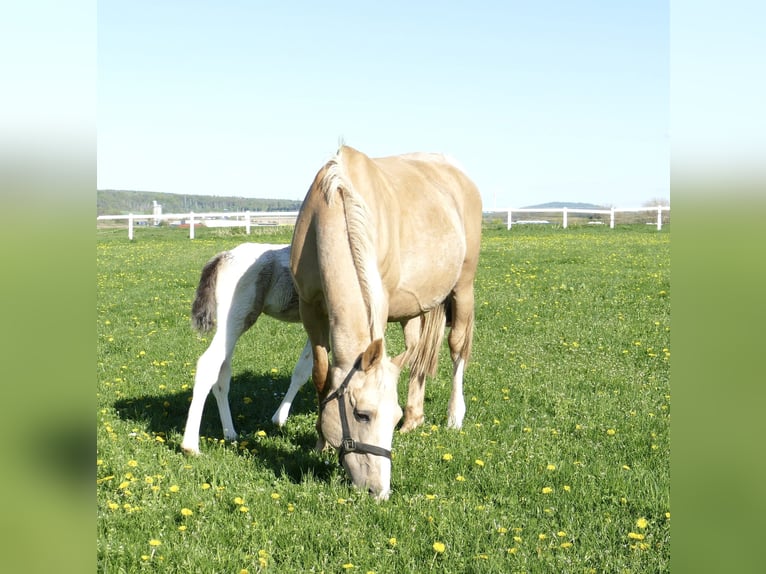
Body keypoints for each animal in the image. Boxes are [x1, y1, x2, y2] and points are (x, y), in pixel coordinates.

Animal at [290, 145, 482, 499]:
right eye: (362, 414)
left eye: (390, 418)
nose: (378, 490)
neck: (337, 201)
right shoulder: (310, 311)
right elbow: (322, 374)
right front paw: (320, 441)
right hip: (415, 308)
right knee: (416, 353)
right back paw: (416, 417)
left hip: (463, 287)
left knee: (457, 348)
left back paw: (454, 416)